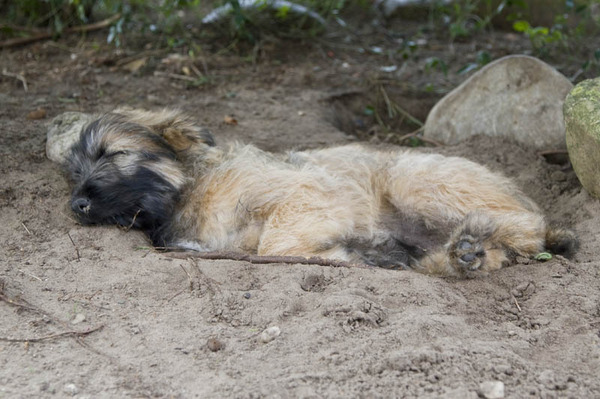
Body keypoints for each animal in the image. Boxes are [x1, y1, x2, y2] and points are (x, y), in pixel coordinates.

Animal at [65, 109, 576, 278]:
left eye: (113, 153)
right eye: (73, 170)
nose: (77, 205)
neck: (186, 191)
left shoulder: (308, 192)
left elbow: (275, 244)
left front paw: (342, 255)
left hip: (412, 180)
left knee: (529, 225)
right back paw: (464, 253)